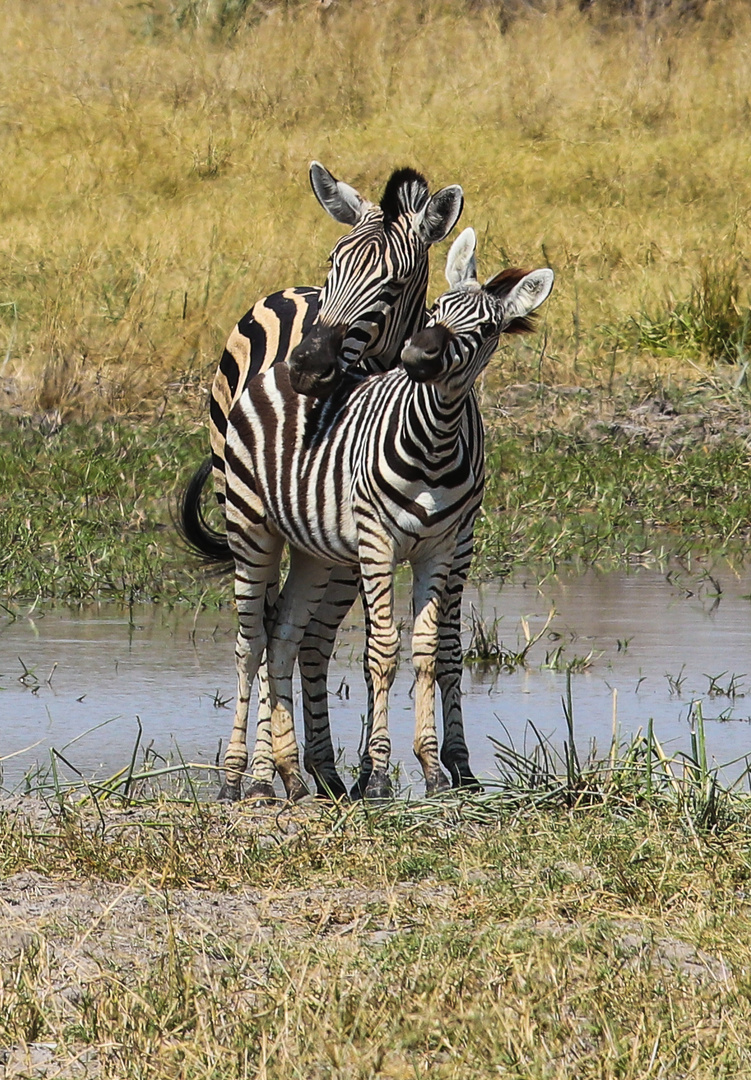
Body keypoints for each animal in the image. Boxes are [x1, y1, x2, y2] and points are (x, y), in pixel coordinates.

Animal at [220, 230, 553, 803]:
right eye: (436, 309)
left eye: (488, 329)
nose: (417, 355)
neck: (434, 440)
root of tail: (282, 367)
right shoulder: (377, 541)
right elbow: (381, 651)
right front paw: (376, 775)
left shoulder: (441, 547)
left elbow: (426, 650)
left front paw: (434, 769)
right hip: (251, 529)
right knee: (250, 645)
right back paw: (238, 777)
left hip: (313, 550)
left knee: (282, 637)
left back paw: (292, 776)